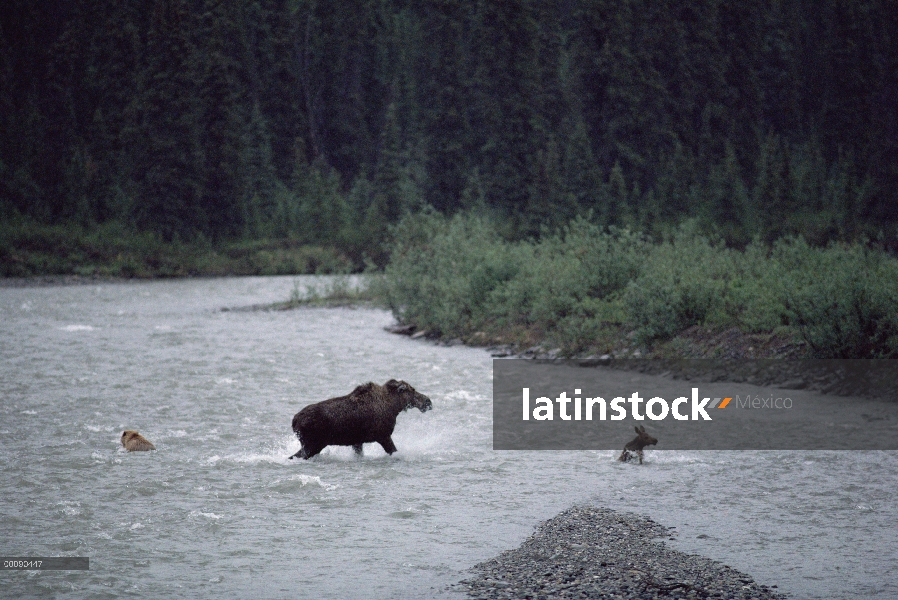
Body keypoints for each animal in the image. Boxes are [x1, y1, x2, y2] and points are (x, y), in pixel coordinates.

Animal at [286, 380, 428, 460]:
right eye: (412, 390)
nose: (428, 401)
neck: (394, 408)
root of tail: (294, 421)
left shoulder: (357, 441)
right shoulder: (383, 436)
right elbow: (394, 451)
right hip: (313, 445)